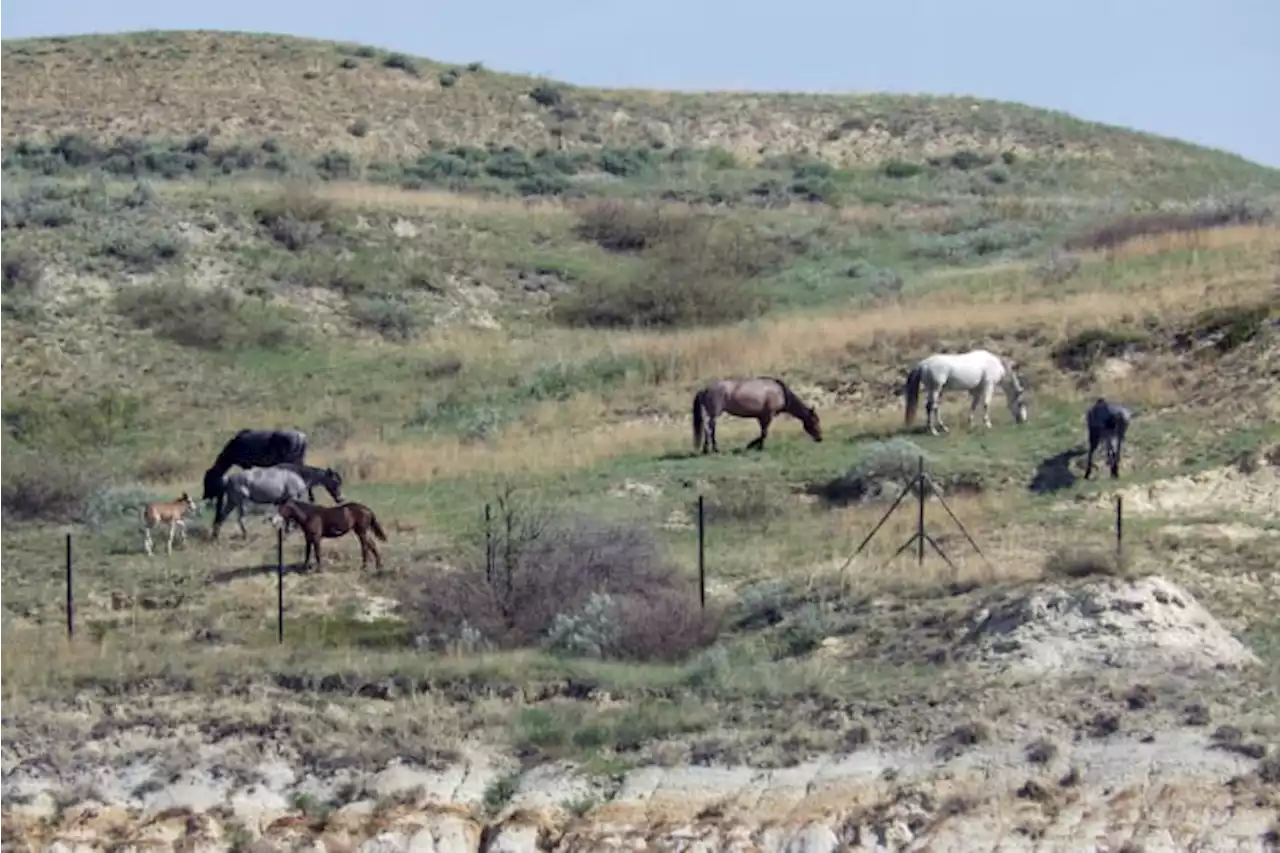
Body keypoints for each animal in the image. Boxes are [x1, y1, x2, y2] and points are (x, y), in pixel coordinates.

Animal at [691, 373, 819, 450]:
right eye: (815, 421)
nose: (820, 438)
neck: (780, 392)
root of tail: (705, 389)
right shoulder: (768, 416)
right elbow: (764, 433)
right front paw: (755, 446)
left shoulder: (761, 417)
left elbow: (762, 432)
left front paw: (754, 445)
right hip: (714, 413)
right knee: (710, 428)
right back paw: (713, 449)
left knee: (709, 428)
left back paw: (708, 449)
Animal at [901, 348, 1029, 435]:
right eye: (1020, 403)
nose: (1023, 420)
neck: (993, 364)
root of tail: (923, 364)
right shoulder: (989, 386)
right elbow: (986, 404)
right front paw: (987, 423)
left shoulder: (977, 390)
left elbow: (974, 405)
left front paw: (971, 423)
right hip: (936, 389)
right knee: (930, 407)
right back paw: (933, 431)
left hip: (935, 390)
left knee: (935, 407)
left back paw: (943, 428)